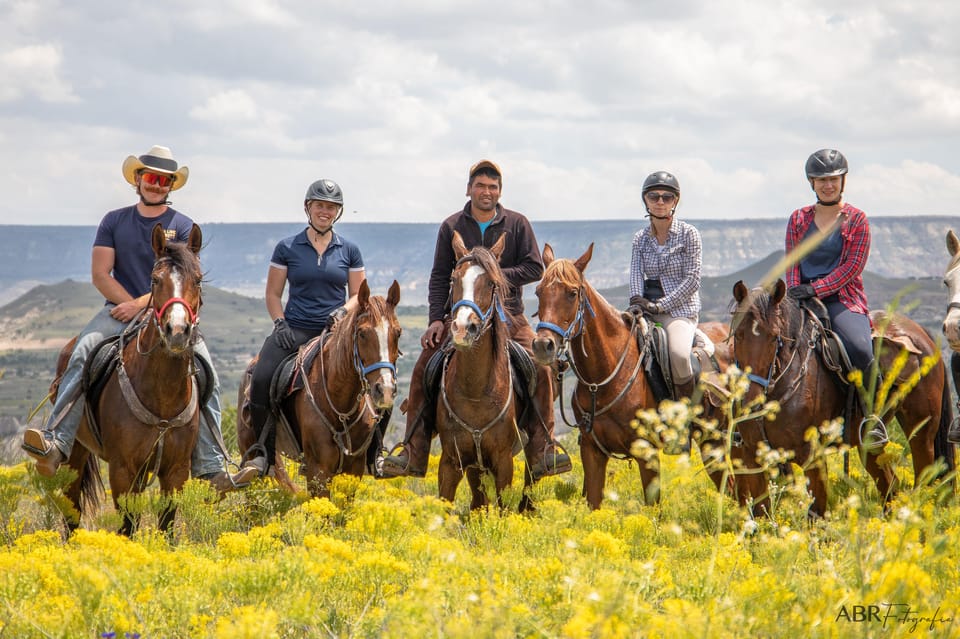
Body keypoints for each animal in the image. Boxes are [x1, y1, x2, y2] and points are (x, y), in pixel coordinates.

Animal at [62, 225, 204, 536]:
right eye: (155, 279)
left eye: (198, 279)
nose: (177, 331)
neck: (162, 394)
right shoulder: (122, 469)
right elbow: (127, 526)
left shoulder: (175, 470)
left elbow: (166, 525)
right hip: (75, 452)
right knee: (71, 509)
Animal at [240, 282, 404, 500]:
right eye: (362, 333)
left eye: (398, 332)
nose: (384, 389)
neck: (341, 406)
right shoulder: (318, 470)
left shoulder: (354, 469)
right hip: (248, 449)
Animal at [438, 232, 536, 512]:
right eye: (453, 279)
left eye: (491, 283)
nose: (463, 328)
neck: (475, 391)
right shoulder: (451, 462)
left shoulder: (503, 462)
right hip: (475, 466)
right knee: (477, 501)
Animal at [528, 244, 732, 510]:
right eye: (538, 291)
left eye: (572, 293)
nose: (543, 345)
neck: (603, 381)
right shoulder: (592, 453)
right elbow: (594, 503)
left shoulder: (647, 454)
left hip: (714, 441)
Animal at [736, 282, 952, 520]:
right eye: (738, 335)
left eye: (775, 337)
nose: (751, 400)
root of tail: (923, 334)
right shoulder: (753, 458)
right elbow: (760, 514)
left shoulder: (813, 458)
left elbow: (816, 514)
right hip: (867, 444)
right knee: (890, 487)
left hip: (922, 432)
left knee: (924, 477)